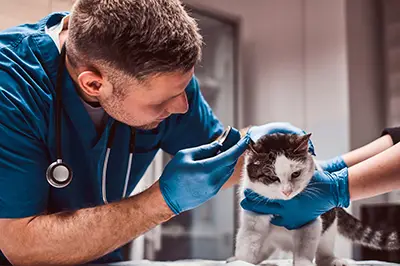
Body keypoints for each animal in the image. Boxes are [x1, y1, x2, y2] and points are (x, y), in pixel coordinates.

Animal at [233, 134, 398, 264]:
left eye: (296, 174)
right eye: (273, 177)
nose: (287, 191)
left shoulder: (310, 220)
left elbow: (304, 250)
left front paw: (303, 262)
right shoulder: (252, 217)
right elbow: (248, 244)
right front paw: (242, 261)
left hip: (328, 228)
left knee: (323, 252)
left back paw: (333, 260)